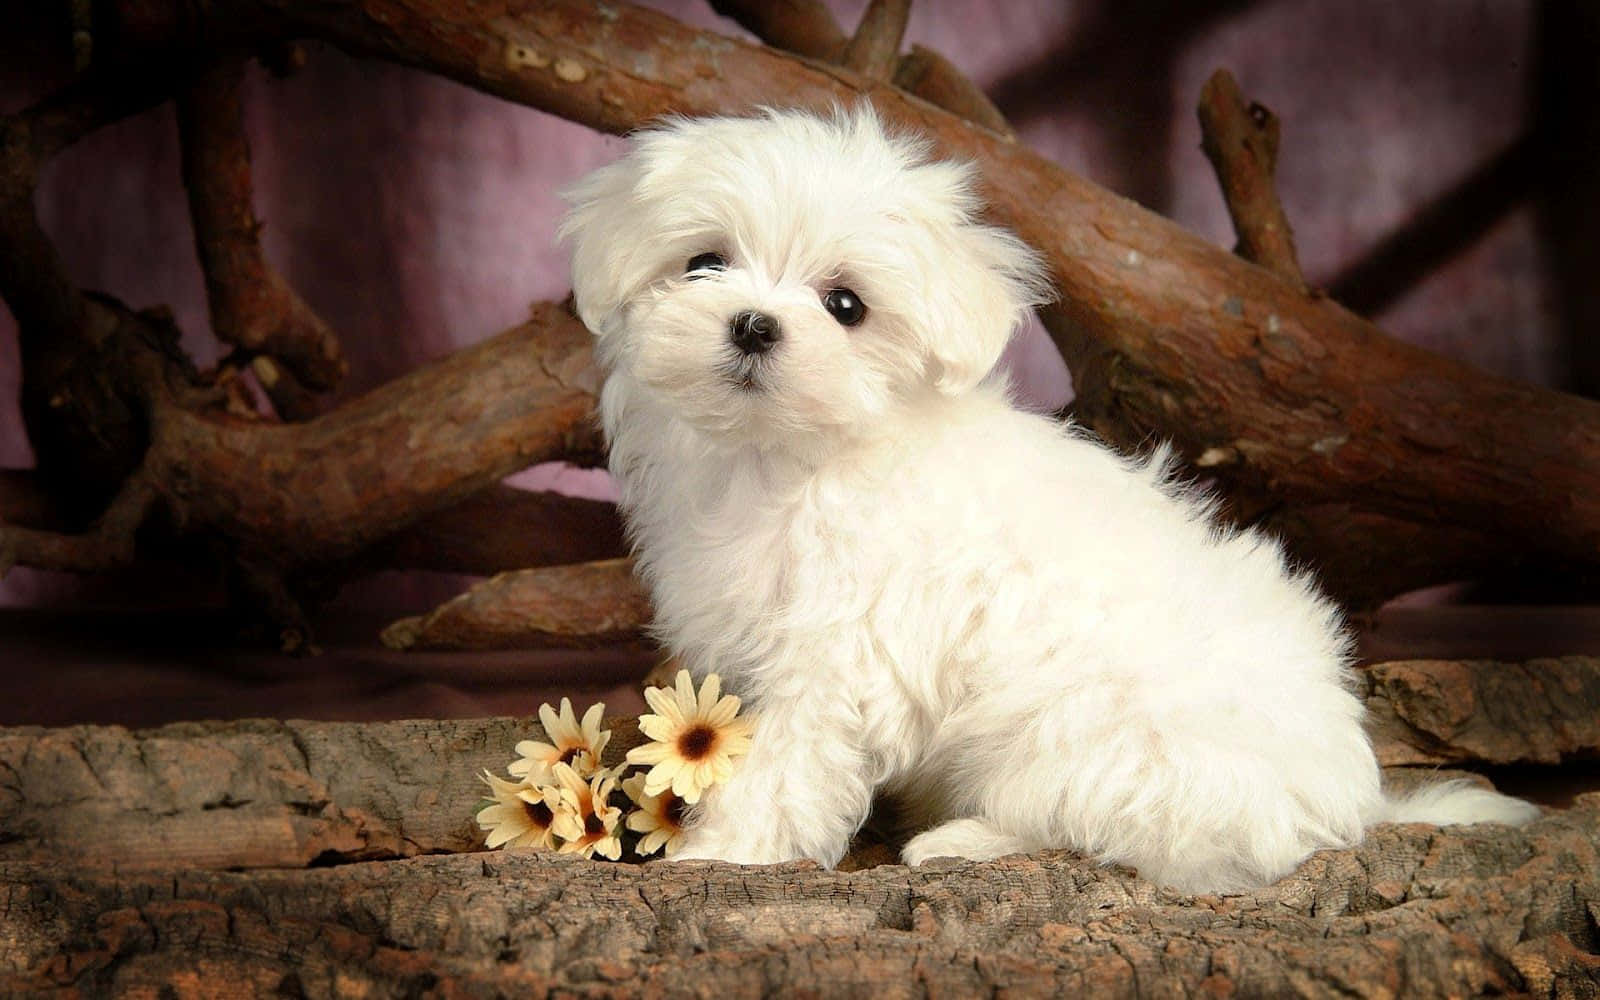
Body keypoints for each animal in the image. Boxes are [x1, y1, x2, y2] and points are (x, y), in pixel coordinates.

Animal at [563, 107, 1536, 889]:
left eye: (845, 305)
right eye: (704, 263)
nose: (756, 324)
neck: (786, 457)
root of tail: (1351, 801)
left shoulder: (841, 655)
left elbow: (788, 761)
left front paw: (722, 852)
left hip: (1098, 734)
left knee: (1095, 822)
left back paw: (958, 841)